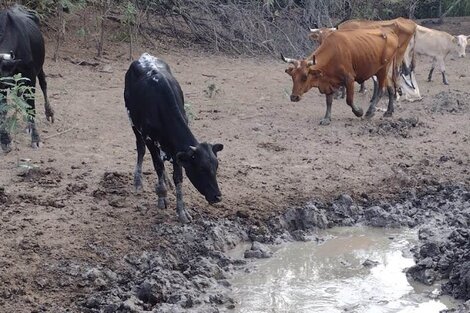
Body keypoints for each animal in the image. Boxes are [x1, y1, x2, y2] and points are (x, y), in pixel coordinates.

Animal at [0, 4, 53, 151]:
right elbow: (2, 110)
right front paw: (5, 139)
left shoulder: (30, 76)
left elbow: (31, 106)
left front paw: (36, 138)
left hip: (39, 67)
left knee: (43, 83)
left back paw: (49, 113)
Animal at [123, 53, 222, 223]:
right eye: (201, 169)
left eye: (216, 167)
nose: (217, 197)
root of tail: (144, 56)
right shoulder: (149, 139)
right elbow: (157, 165)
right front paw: (162, 196)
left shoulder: (177, 151)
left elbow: (178, 177)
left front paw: (182, 211)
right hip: (132, 122)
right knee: (141, 149)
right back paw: (138, 181)